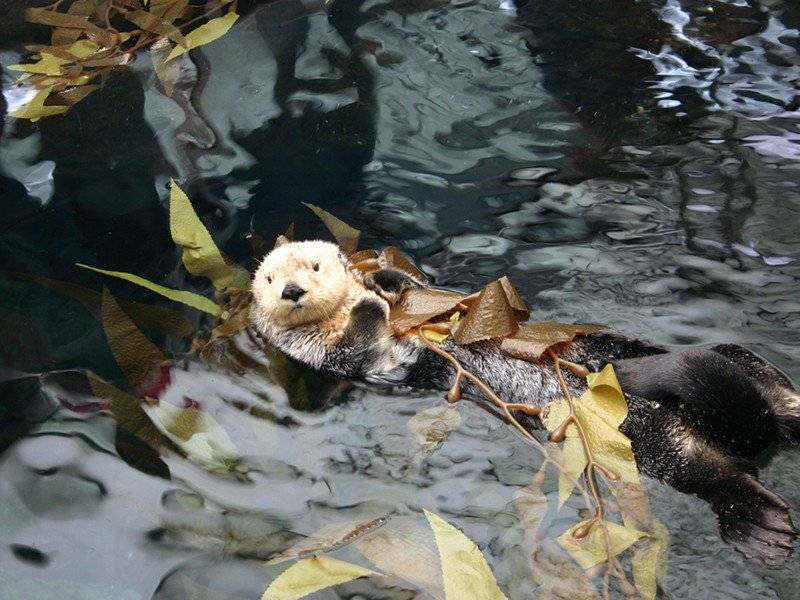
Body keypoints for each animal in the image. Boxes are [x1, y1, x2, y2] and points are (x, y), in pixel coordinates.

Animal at [252, 239, 800, 568]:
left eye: (315, 265)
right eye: (268, 279)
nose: (292, 290)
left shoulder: (420, 302)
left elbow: (419, 288)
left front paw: (381, 280)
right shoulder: (332, 357)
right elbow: (358, 347)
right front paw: (368, 305)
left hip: (715, 364)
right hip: (655, 448)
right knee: (722, 475)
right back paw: (762, 526)